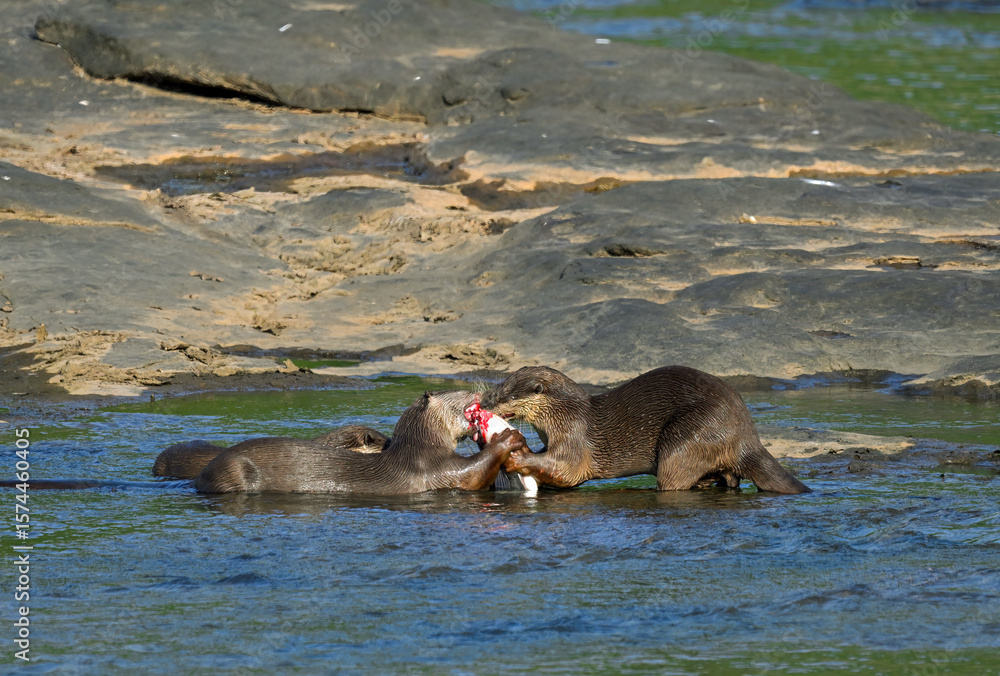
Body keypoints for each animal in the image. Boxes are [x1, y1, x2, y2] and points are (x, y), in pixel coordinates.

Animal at [194, 389, 527, 494]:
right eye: (459, 392)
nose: (482, 394)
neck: (421, 446)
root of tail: (200, 476)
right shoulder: (434, 468)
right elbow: (473, 472)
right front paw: (508, 437)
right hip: (234, 471)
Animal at [478, 366, 809, 494]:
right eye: (497, 386)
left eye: (504, 395)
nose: (483, 401)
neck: (565, 413)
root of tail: (746, 435)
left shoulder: (574, 436)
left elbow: (565, 468)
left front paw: (517, 457)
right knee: (731, 477)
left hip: (689, 436)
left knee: (675, 477)